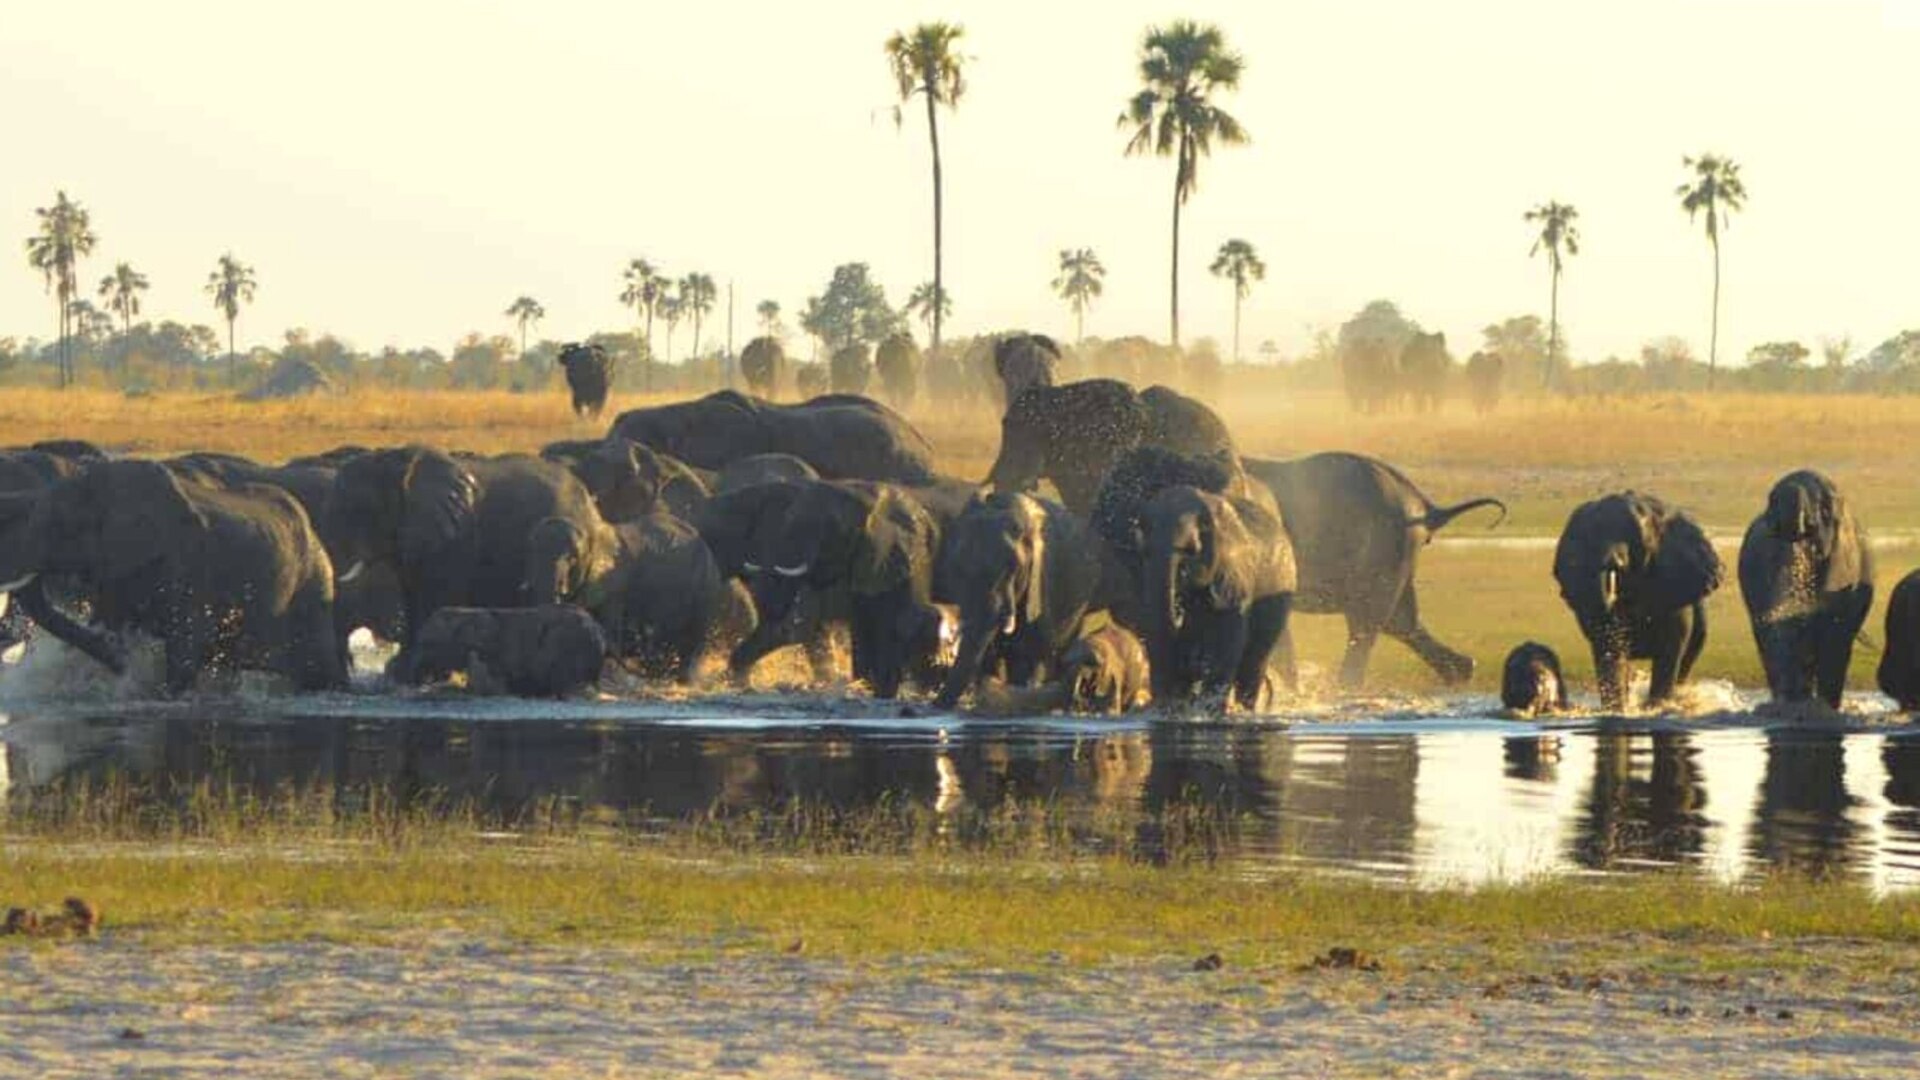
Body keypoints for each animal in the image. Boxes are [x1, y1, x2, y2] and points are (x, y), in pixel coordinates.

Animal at [0, 460, 345, 694]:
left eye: (60, 526)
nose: (126, 667)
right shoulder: (117, 572)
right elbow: (112, 620)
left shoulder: (188, 567)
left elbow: (187, 641)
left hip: (313, 586)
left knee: (318, 667)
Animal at [322, 447, 603, 671]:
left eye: (358, 511)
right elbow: (410, 593)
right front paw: (398, 667)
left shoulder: (456, 536)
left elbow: (434, 594)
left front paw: (406, 668)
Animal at [524, 510, 752, 683]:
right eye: (531, 552)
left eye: (572, 558)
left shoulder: (615, 582)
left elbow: (609, 625)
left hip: (705, 588)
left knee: (690, 641)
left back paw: (680, 680)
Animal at [1242, 452, 1506, 687]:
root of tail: (1426, 507)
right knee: (1400, 623)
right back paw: (1461, 674)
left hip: (1384, 547)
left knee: (1368, 623)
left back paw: (1345, 689)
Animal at [1553, 491, 1724, 711]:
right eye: (1589, 535)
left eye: (1636, 536)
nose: (1615, 564)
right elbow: (1608, 649)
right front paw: (1619, 711)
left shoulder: (1673, 588)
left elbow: (1669, 650)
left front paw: (1655, 708)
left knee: (1686, 661)